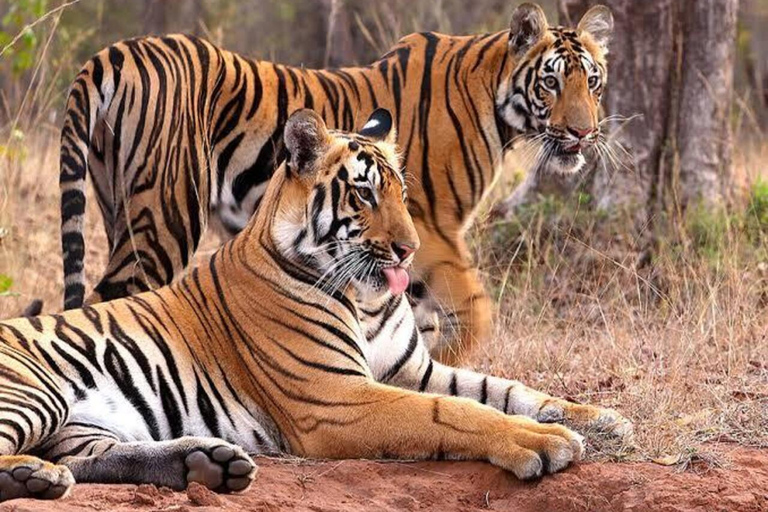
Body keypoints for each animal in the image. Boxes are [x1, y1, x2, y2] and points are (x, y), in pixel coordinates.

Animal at [1, 109, 631, 502]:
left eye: (403, 192)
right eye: (364, 192)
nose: (410, 249)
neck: (366, 299)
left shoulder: (413, 369)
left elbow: (505, 389)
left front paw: (601, 419)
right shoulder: (336, 398)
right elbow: (451, 413)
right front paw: (542, 442)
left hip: (85, 426)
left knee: (88, 460)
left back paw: (204, 464)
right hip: (37, 391)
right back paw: (34, 477)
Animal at [58, 3, 614, 364]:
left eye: (593, 81)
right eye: (551, 81)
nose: (584, 132)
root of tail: (112, 54)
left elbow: (412, 318)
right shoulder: (431, 230)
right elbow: (474, 313)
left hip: (118, 206)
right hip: (165, 220)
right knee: (109, 302)